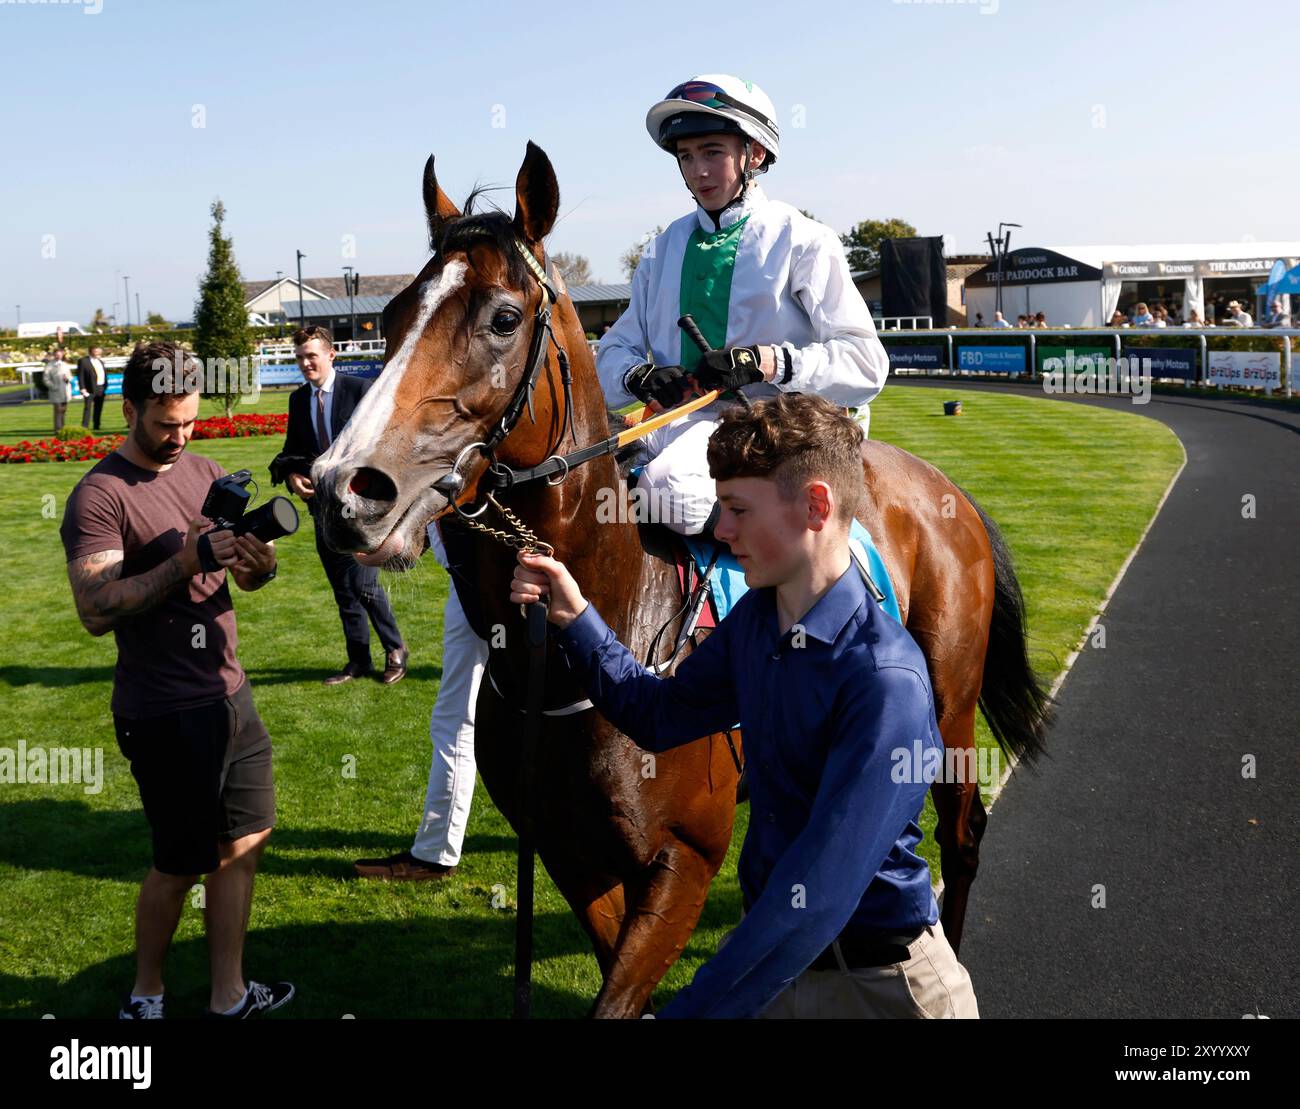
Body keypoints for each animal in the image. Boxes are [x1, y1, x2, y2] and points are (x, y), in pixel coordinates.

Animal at [314, 143, 1055, 1019]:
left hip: (946, 709)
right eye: (392, 316)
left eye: (502, 317)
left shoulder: (685, 860)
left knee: (960, 839)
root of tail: (946, 487)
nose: (345, 490)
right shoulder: (573, 854)